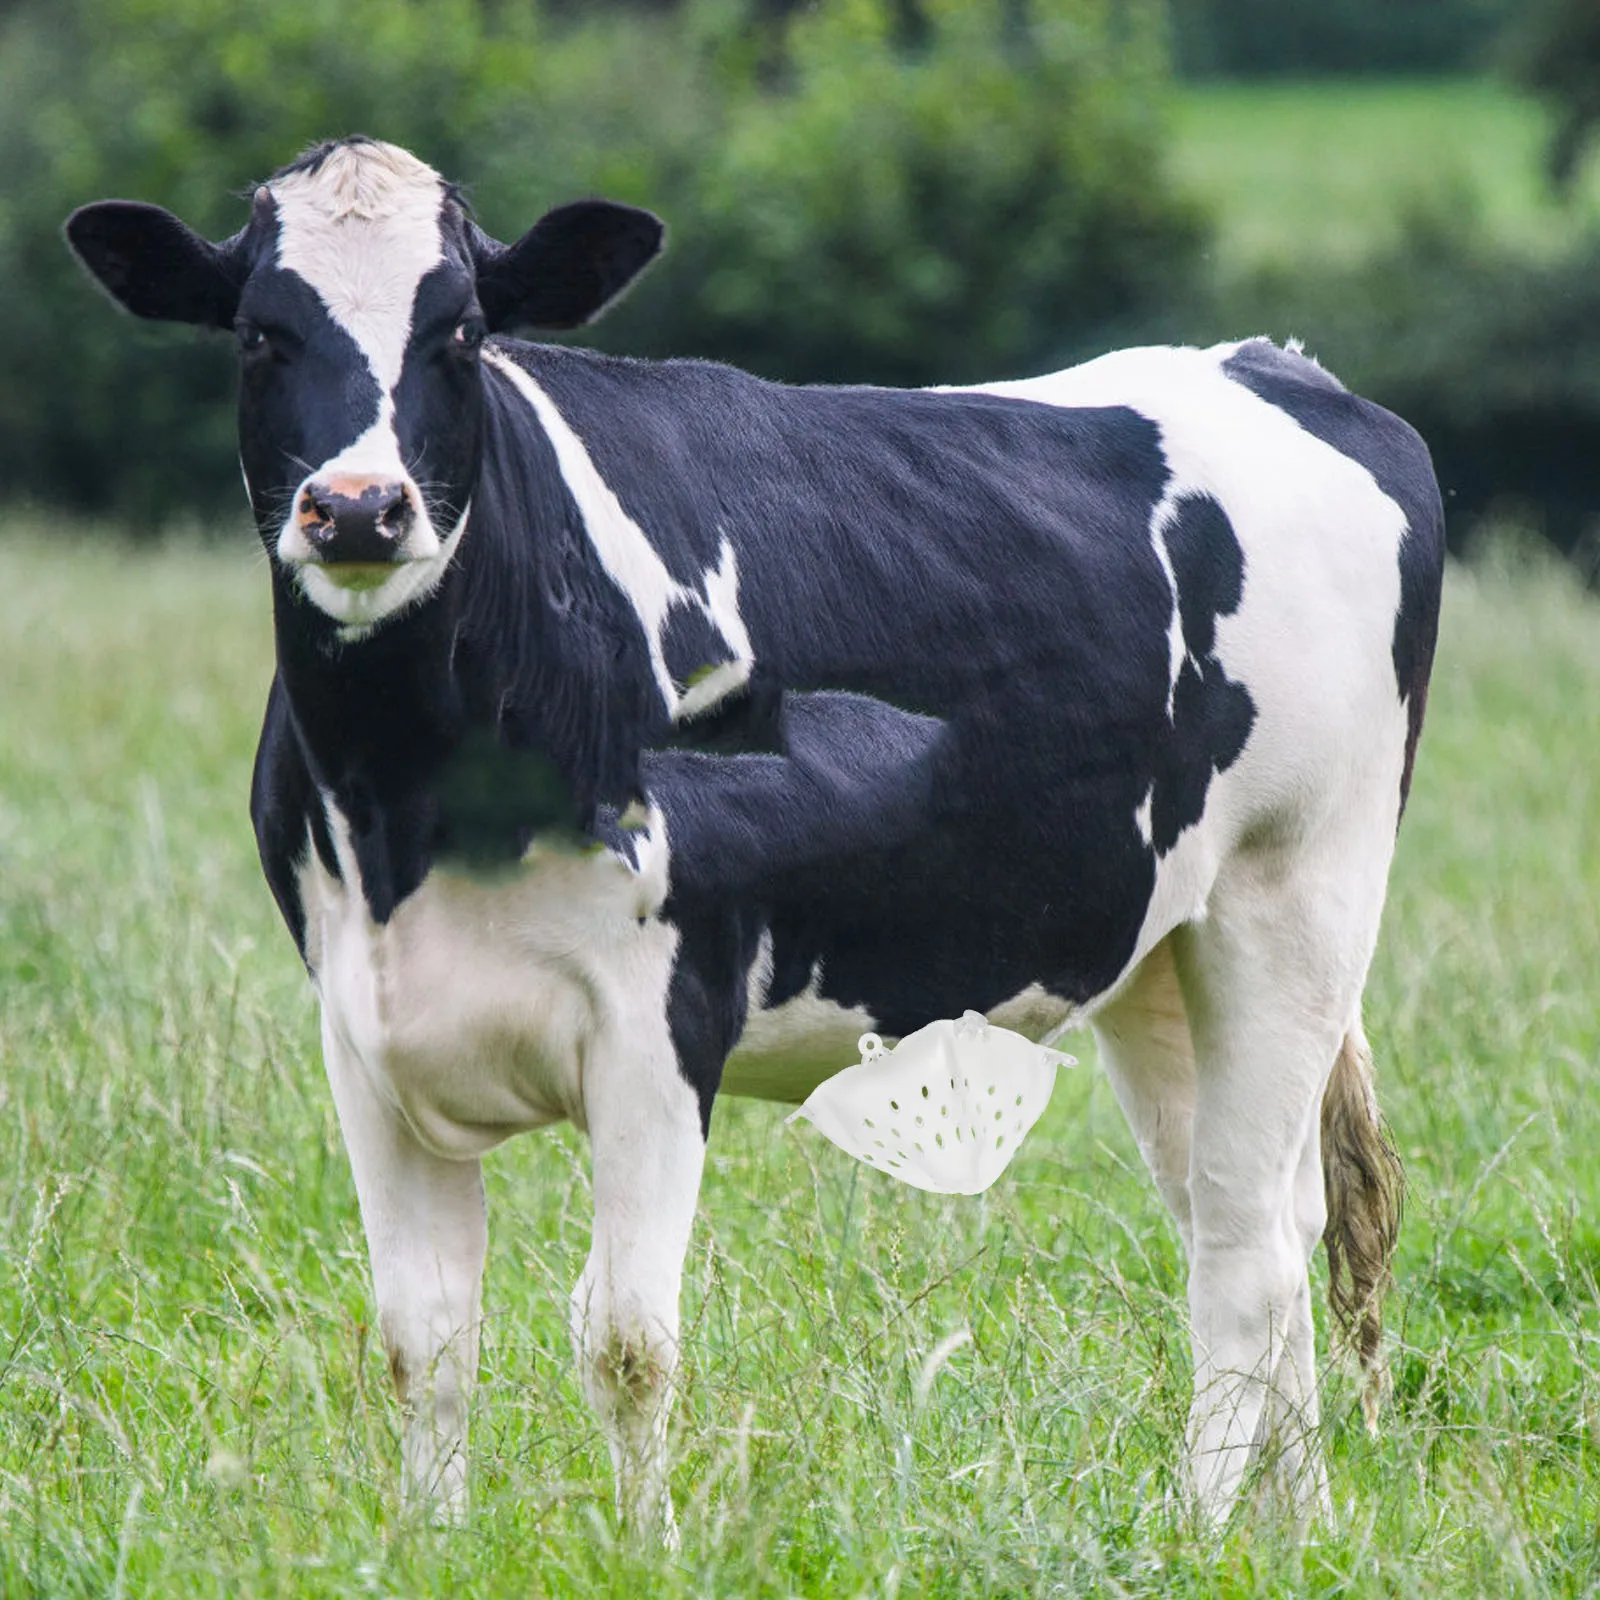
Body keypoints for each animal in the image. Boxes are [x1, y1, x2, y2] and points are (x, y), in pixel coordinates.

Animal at [65, 136, 1442, 1538]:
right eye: (258, 333)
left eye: (458, 331)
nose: (357, 509)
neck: (415, 803)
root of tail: (1275, 364)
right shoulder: (363, 1021)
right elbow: (423, 1335)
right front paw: (428, 1542)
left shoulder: (660, 1015)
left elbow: (623, 1337)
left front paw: (642, 1546)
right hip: (1161, 941)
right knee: (1263, 1210)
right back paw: (1294, 1527)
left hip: (1300, 891)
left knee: (1248, 1247)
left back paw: (1197, 1530)